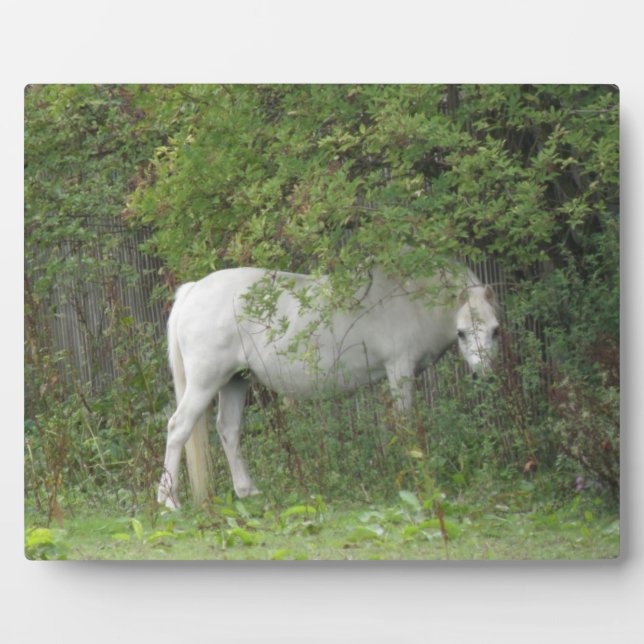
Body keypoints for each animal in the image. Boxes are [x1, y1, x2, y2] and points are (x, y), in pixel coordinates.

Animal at [157, 264, 500, 508]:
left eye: (495, 330)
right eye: (462, 333)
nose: (485, 376)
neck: (409, 299)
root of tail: (193, 290)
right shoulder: (399, 369)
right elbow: (404, 424)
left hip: (235, 381)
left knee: (229, 429)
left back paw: (247, 491)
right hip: (205, 382)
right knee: (178, 427)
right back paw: (169, 500)